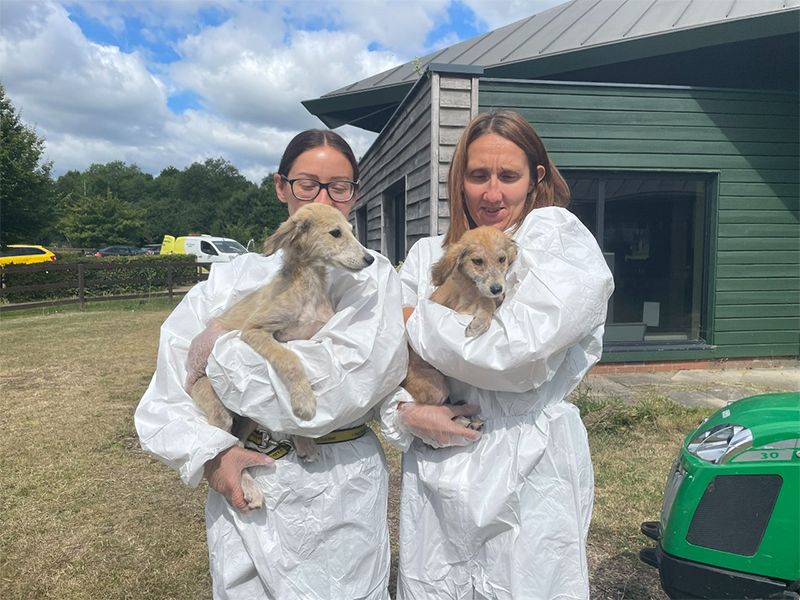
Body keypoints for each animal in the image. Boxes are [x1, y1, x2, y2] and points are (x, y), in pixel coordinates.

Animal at [188, 203, 376, 510]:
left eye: (351, 230)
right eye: (335, 233)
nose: (370, 259)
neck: (308, 286)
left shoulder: (313, 338)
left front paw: (305, 441)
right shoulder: (256, 331)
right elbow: (289, 359)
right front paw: (304, 402)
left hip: (248, 419)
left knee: (240, 442)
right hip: (218, 410)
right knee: (229, 446)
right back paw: (249, 487)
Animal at [400, 225, 520, 422]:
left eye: (501, 259)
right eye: (477, 261)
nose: (497, 288)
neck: (470, 283)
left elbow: (488, 300)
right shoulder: (460, 307)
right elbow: (486, 301)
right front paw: (480, 322)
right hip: (435, 388)